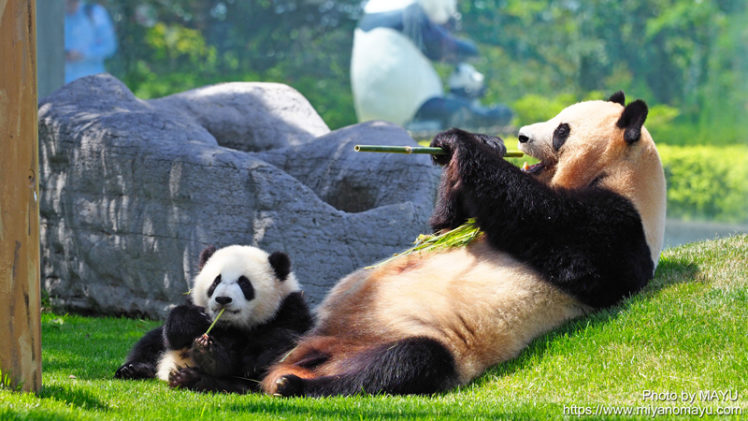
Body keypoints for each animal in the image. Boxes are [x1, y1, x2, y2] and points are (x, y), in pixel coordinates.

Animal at [112, 244, 312, 392]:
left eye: (244, 283)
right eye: (216, 281)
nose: (223, 299)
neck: (230, 325)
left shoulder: (289, 313)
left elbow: (267, 353)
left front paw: (212, 357)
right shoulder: (192, 303)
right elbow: (174, 331)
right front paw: (193, 323)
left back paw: (194, 378)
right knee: (150, 342)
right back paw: (134, 369)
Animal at [262, 92, 668, 398]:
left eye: (561, 130)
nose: (521, 136)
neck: (622, 176)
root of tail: (311, 355)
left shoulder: (618, 230)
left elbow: (542, 218)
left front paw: (464, 141)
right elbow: (446, 227)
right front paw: (475, 144)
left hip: (414, 343)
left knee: (406, 363)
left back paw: (293, 386)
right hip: (312, 326)